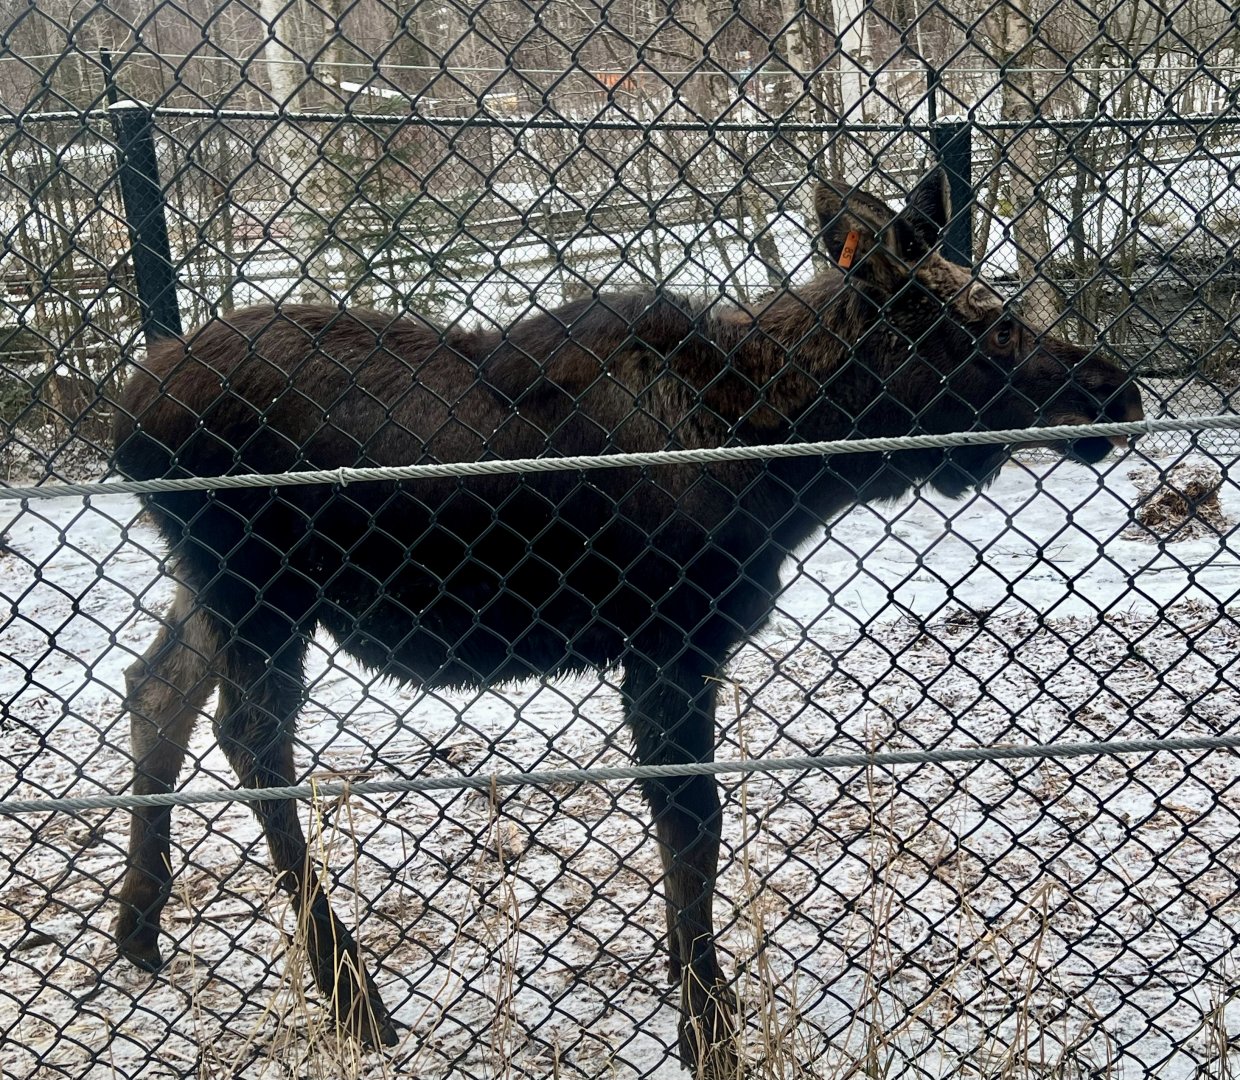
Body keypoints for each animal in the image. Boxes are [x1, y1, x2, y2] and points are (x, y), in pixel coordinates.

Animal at [109, 167, 1143, 1076]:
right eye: (990, 325)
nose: (1116, 391)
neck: (788, 457)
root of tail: (125, 420)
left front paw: (698, 995)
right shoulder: (669, 641)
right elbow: (693, 833)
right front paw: (709, 1032)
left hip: (212, 586)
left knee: (158, 686)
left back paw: (139, 929)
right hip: (262, 592)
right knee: (251, 737)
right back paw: (352, 998)